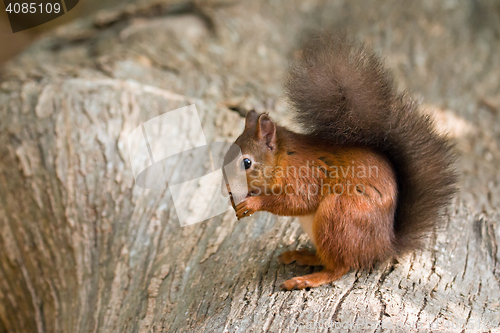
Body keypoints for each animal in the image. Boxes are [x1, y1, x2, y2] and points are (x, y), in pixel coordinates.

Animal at [221, 32, 456, 290]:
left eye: (246, 163)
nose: (226, 188)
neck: (285, 157)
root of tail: (384, 246)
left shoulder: (305, 175)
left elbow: (296, 201)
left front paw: (254, 203)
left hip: (338, 216)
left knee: (340, 267)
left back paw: (306, 279)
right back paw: (304, 255)